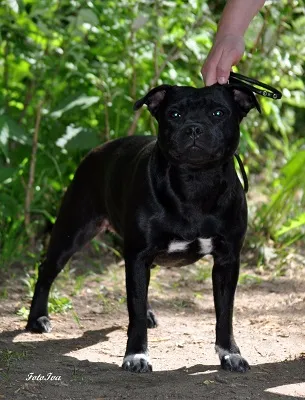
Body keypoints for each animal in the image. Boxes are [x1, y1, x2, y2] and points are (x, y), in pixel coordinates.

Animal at [25, 83, 258, 374]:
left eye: (219, 112)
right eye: (174, 114)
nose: (194, 128)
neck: (195, 182)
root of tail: (97, 150)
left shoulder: (227, 261)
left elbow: (225, 313)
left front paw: (230, 354)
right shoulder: (138, 255)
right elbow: (134, 309)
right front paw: (136, 355)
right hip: (71, 232)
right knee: (46, 271)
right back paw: (37, 318)